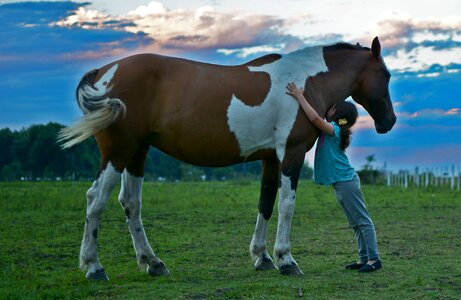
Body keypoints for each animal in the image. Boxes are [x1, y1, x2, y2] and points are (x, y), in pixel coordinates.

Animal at [57, 36, 396, 280]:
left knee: (130, 203)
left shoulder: (270, 159)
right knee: (96, 199)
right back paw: (94, 267)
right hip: (118, 152)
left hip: (137, 152)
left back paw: (153, 263)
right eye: (387, 74)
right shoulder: (292, 153)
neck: (305, 82)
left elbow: (266, 204)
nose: (389, 121)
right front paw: (286, 259)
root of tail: (105, 72)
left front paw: (262, 257)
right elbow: (287, 206)